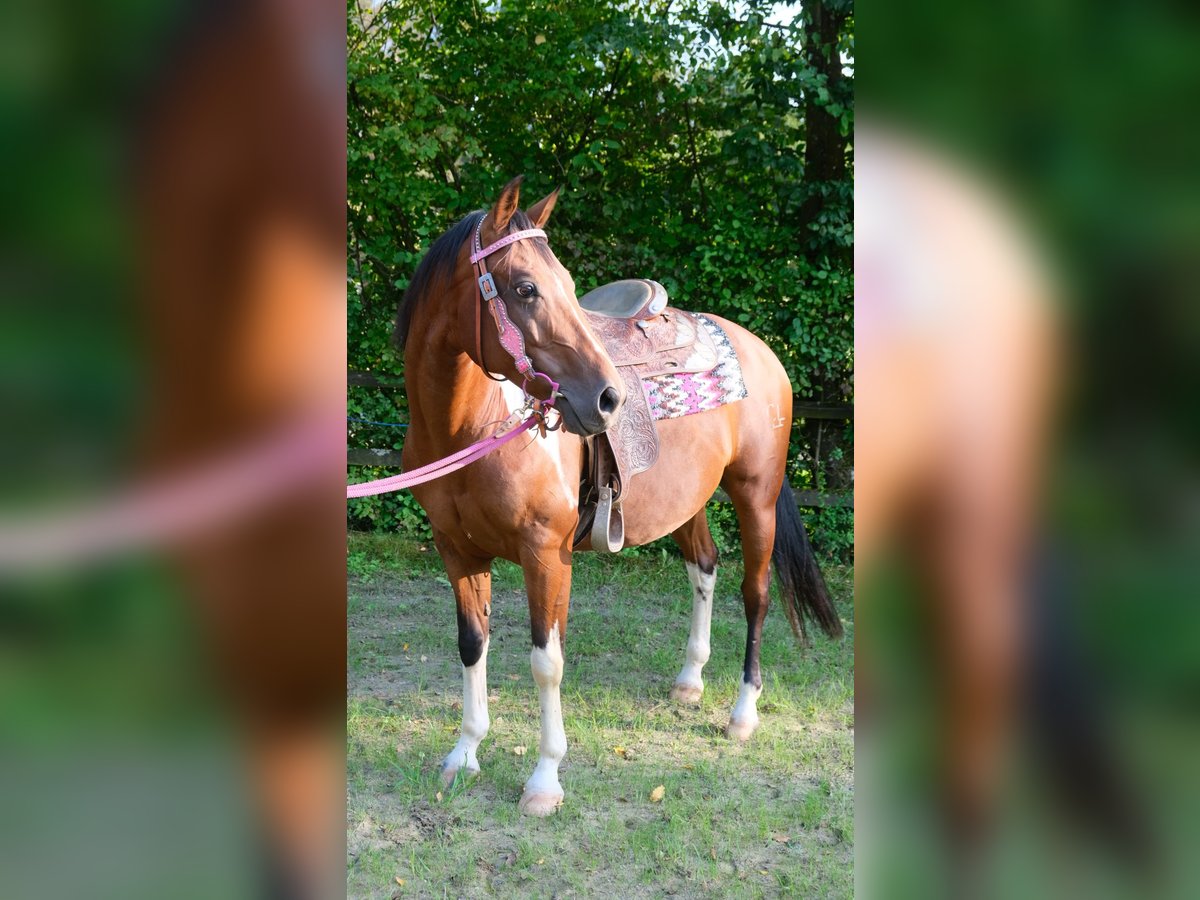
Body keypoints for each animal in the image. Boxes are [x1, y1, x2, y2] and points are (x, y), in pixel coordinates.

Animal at [396, 174, 844, 816]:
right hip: (686, 502)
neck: (471, 428)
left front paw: (545, 781)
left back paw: (742, 712)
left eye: (567, 286)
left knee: (755, 595)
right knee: (704, 566)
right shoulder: (457, 550)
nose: (609, 399)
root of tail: (755, 348)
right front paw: (465, 754)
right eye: (525, 288)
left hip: (755, 496)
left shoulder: (545, 556)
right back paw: (690, 681)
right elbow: (472, 644)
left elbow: (546, 662)